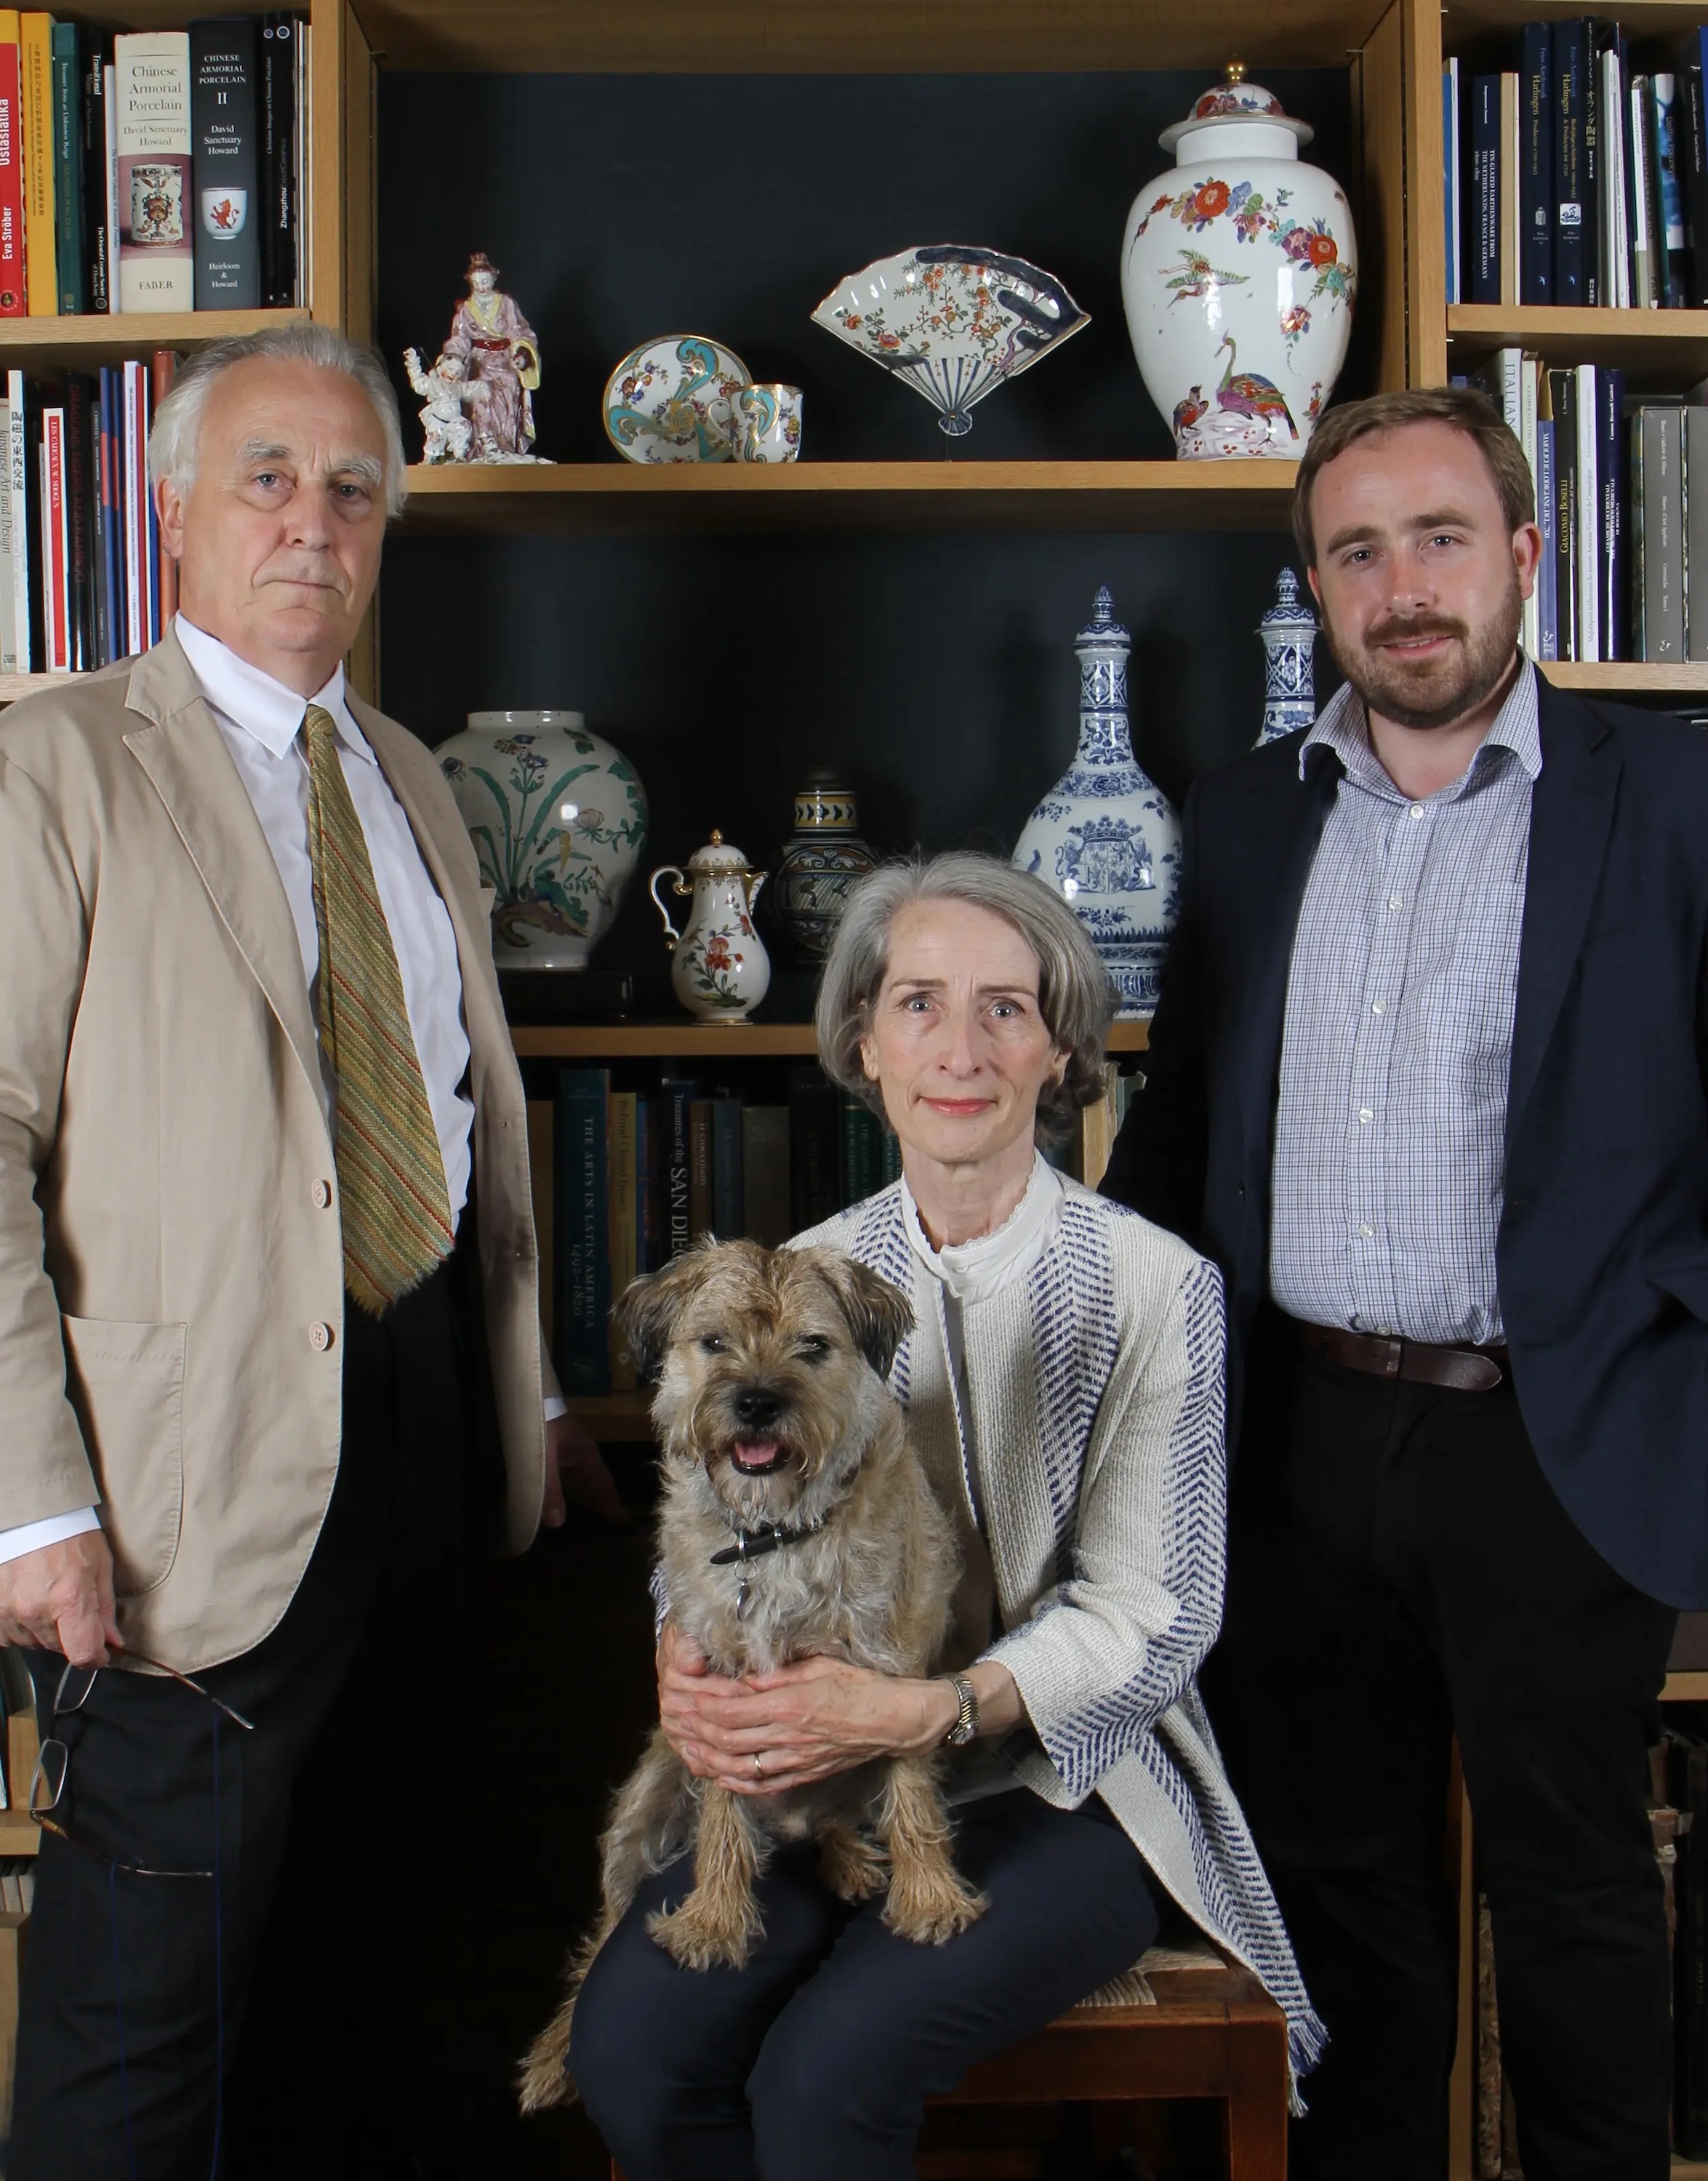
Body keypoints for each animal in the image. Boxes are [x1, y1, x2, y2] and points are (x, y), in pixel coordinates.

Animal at [518, 1237, 987, 2114]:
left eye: (812, 1346)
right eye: (714, 1343)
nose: (759, 1404)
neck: (774, 1536)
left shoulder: (894, 1676)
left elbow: (911, 1796)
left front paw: (930, 1899)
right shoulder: (717, 1697)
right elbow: (723, 1824)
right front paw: (712, 1921)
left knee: (840, 1817)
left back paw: (848, 1856)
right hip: (639, 1816)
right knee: (598, 1944)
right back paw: (556, 2053)